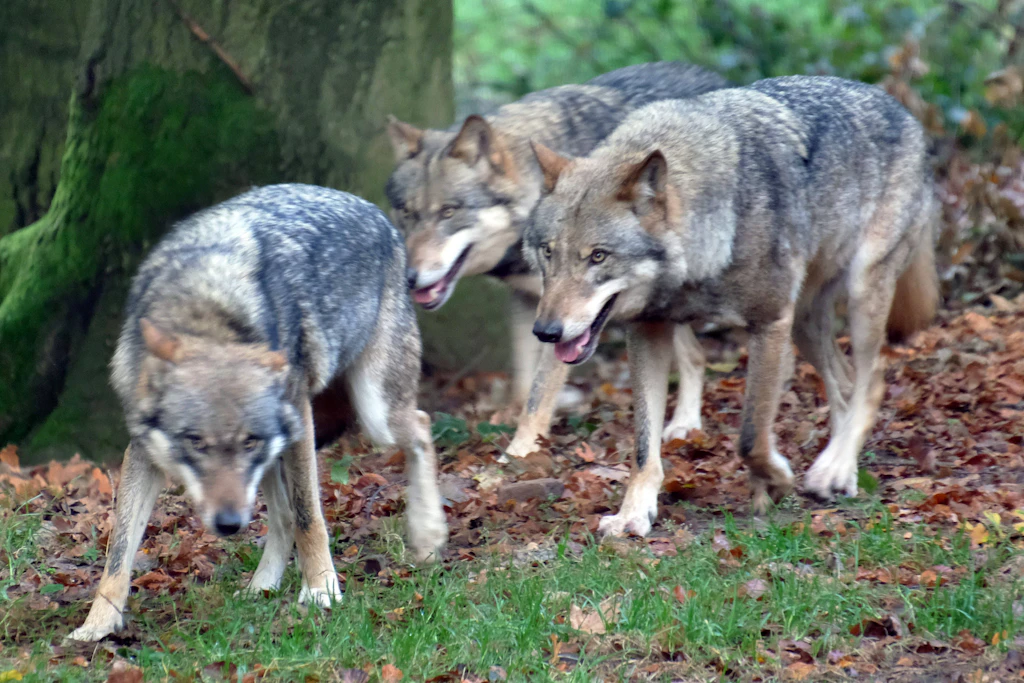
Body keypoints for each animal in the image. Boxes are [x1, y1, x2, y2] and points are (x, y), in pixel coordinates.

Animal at [69, 184, 447, 642]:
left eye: (248, 440)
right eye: (194, 442)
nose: (230, 524)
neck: (207, 311)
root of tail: (373, 209)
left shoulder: (297, 424)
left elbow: (308, 517)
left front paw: (321, 589)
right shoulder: (144, 451)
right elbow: (118, 550)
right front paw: (97, 624)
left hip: (373, 413)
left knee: (422, 427)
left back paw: (427, 537)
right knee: (280, 519)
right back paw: (261, 586)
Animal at [385, 62, 728, 458]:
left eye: (448, 212)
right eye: (407, 214)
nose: (410, 278)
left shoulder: (565, 320)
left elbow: (539, 395)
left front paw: (517, 453)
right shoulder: (529, 303)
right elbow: (524, 383)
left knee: (697, 355)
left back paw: (686, 425)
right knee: (697, 354)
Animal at [526, 76, 938, 537]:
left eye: (598, 256)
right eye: (548, 252)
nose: (545, 332)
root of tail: (900, 108)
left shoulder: (770, 324)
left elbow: (751, 436)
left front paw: (775, 482)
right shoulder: (649, 330)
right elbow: (644, 445)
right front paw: (634, 514)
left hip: (861, 295)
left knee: (874, 378)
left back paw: (832, 470)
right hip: (806, 324)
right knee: (846, 384)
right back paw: (839, 469)